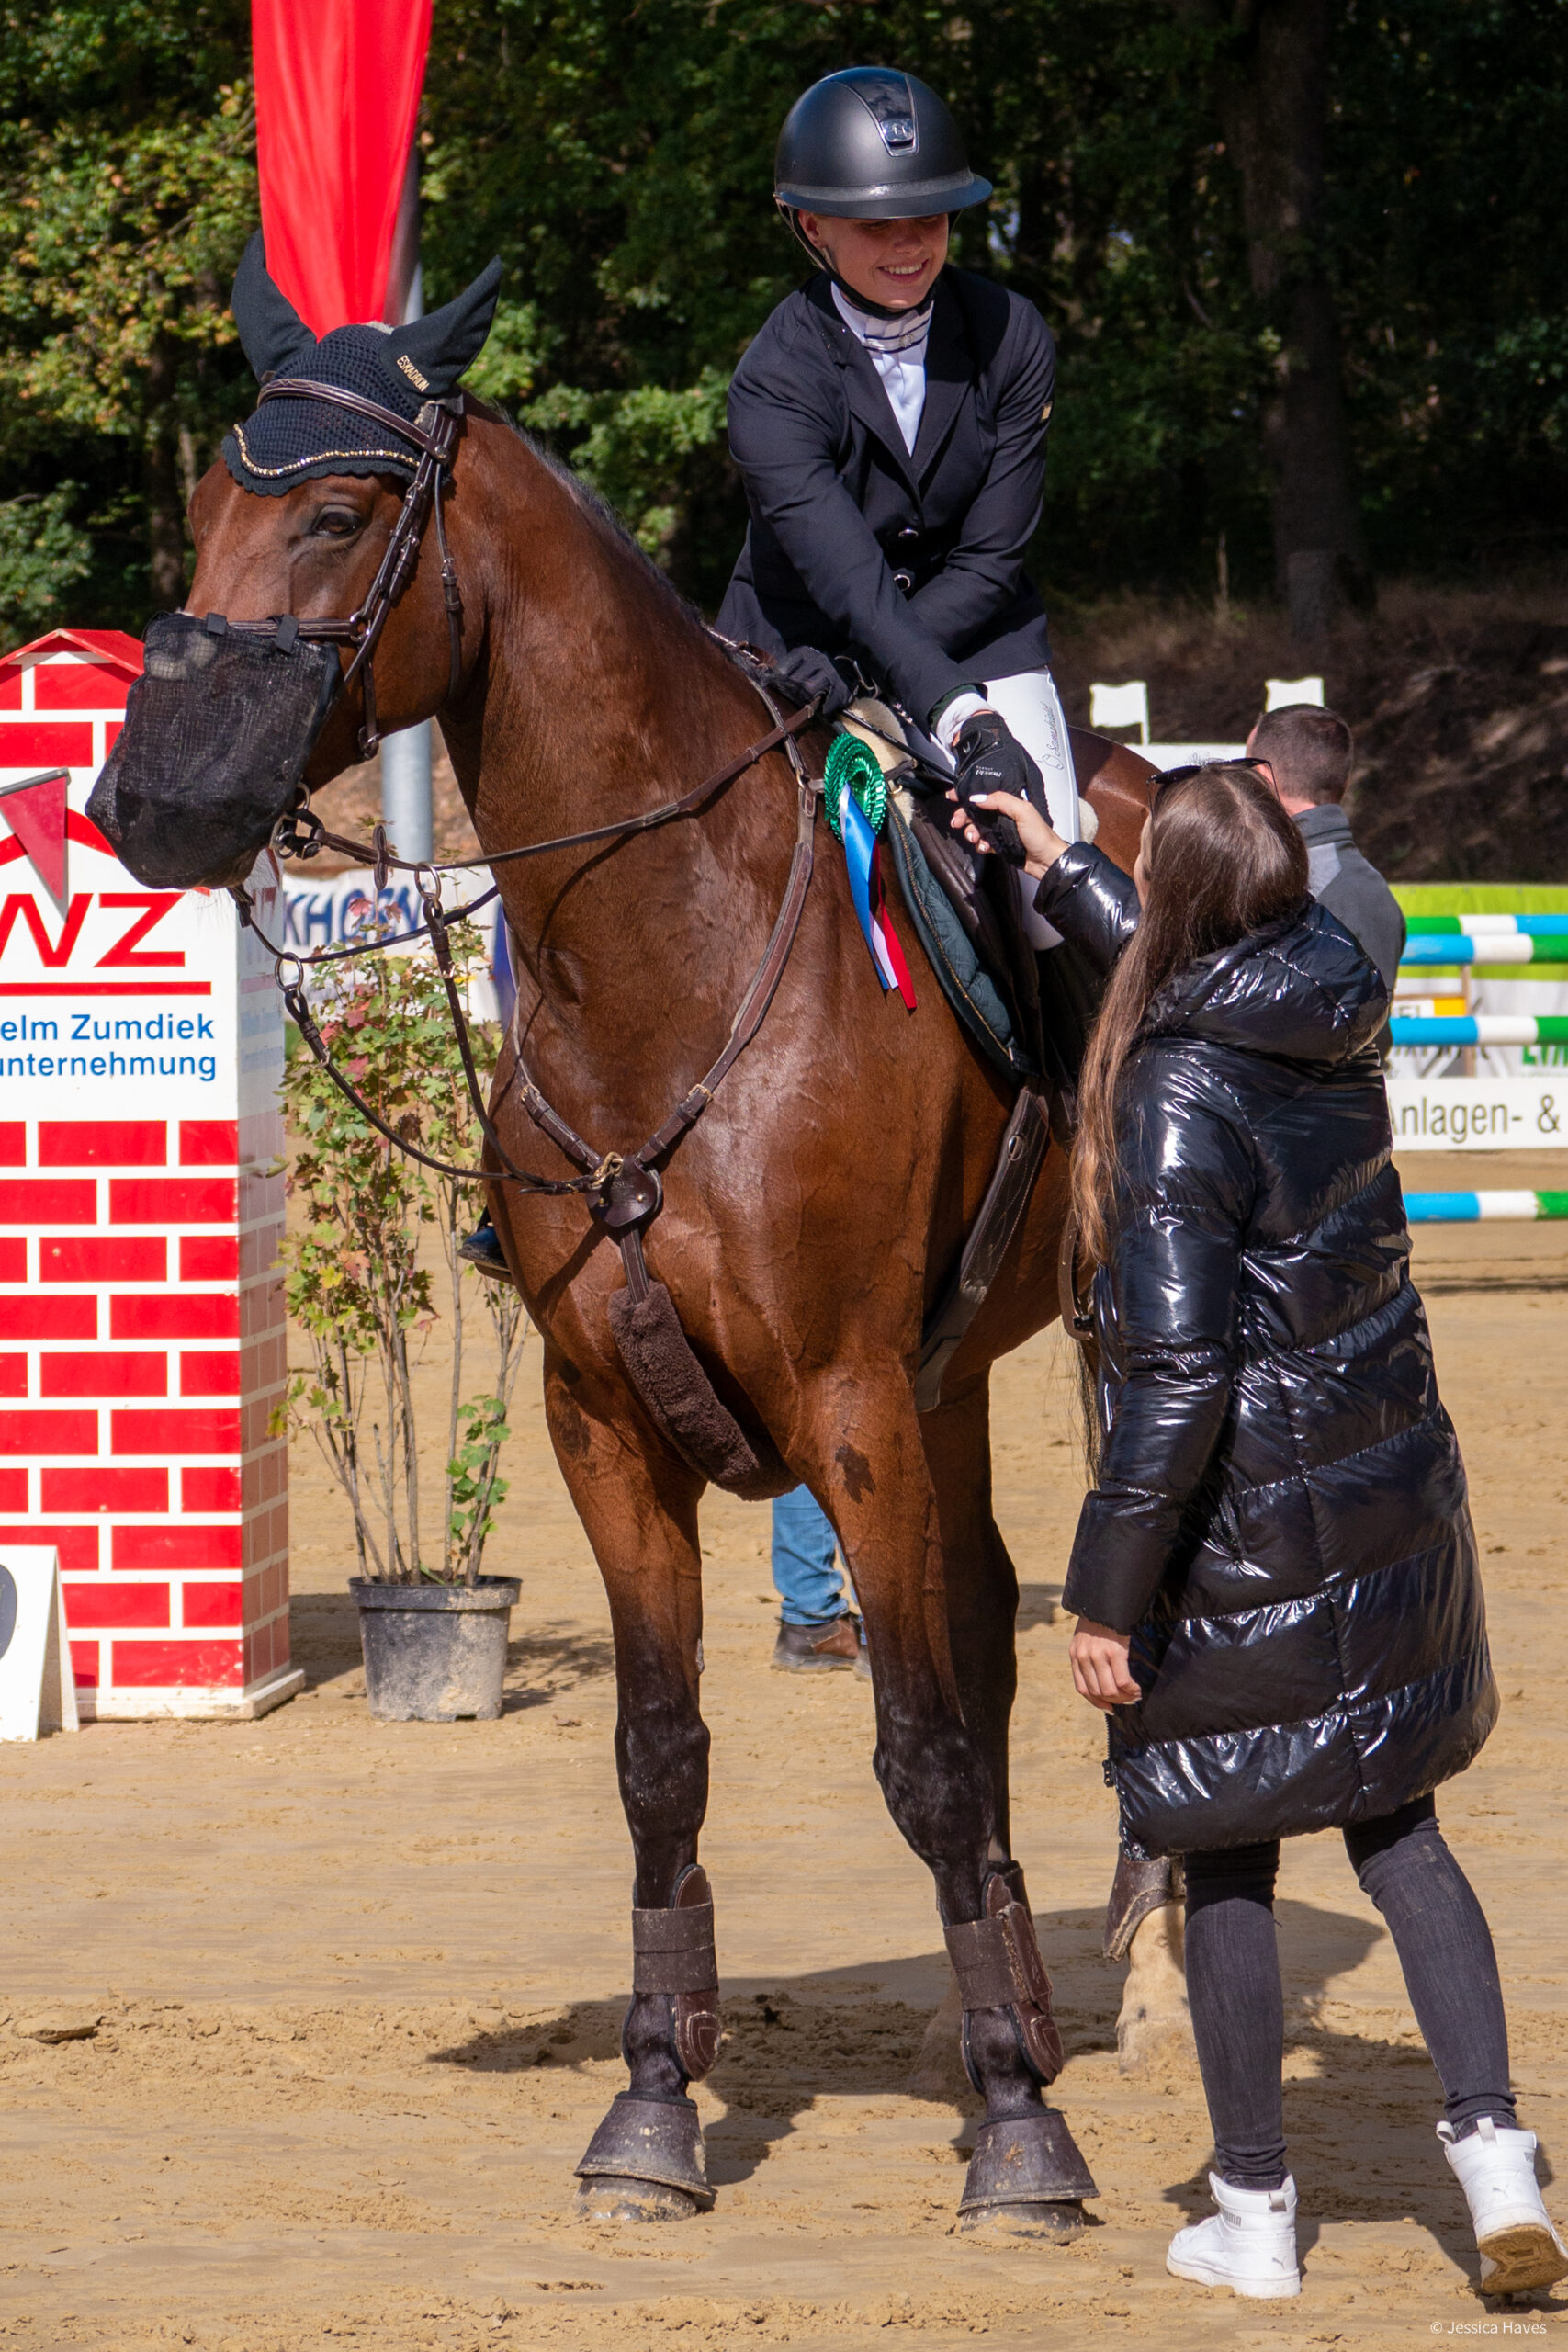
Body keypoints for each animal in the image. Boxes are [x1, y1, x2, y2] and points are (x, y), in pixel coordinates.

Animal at [92, 384, 1164, 2234]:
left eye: (335, 520)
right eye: (209, 509)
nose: (145, 803)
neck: (676, 954)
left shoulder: (847, 1408)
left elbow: (920, 1752)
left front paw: (1023, 2141)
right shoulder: (602, 1420)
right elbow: (662, 1757)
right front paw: (654, 2111)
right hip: (945, 1378)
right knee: (980, 1617)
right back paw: (1009, 2000)